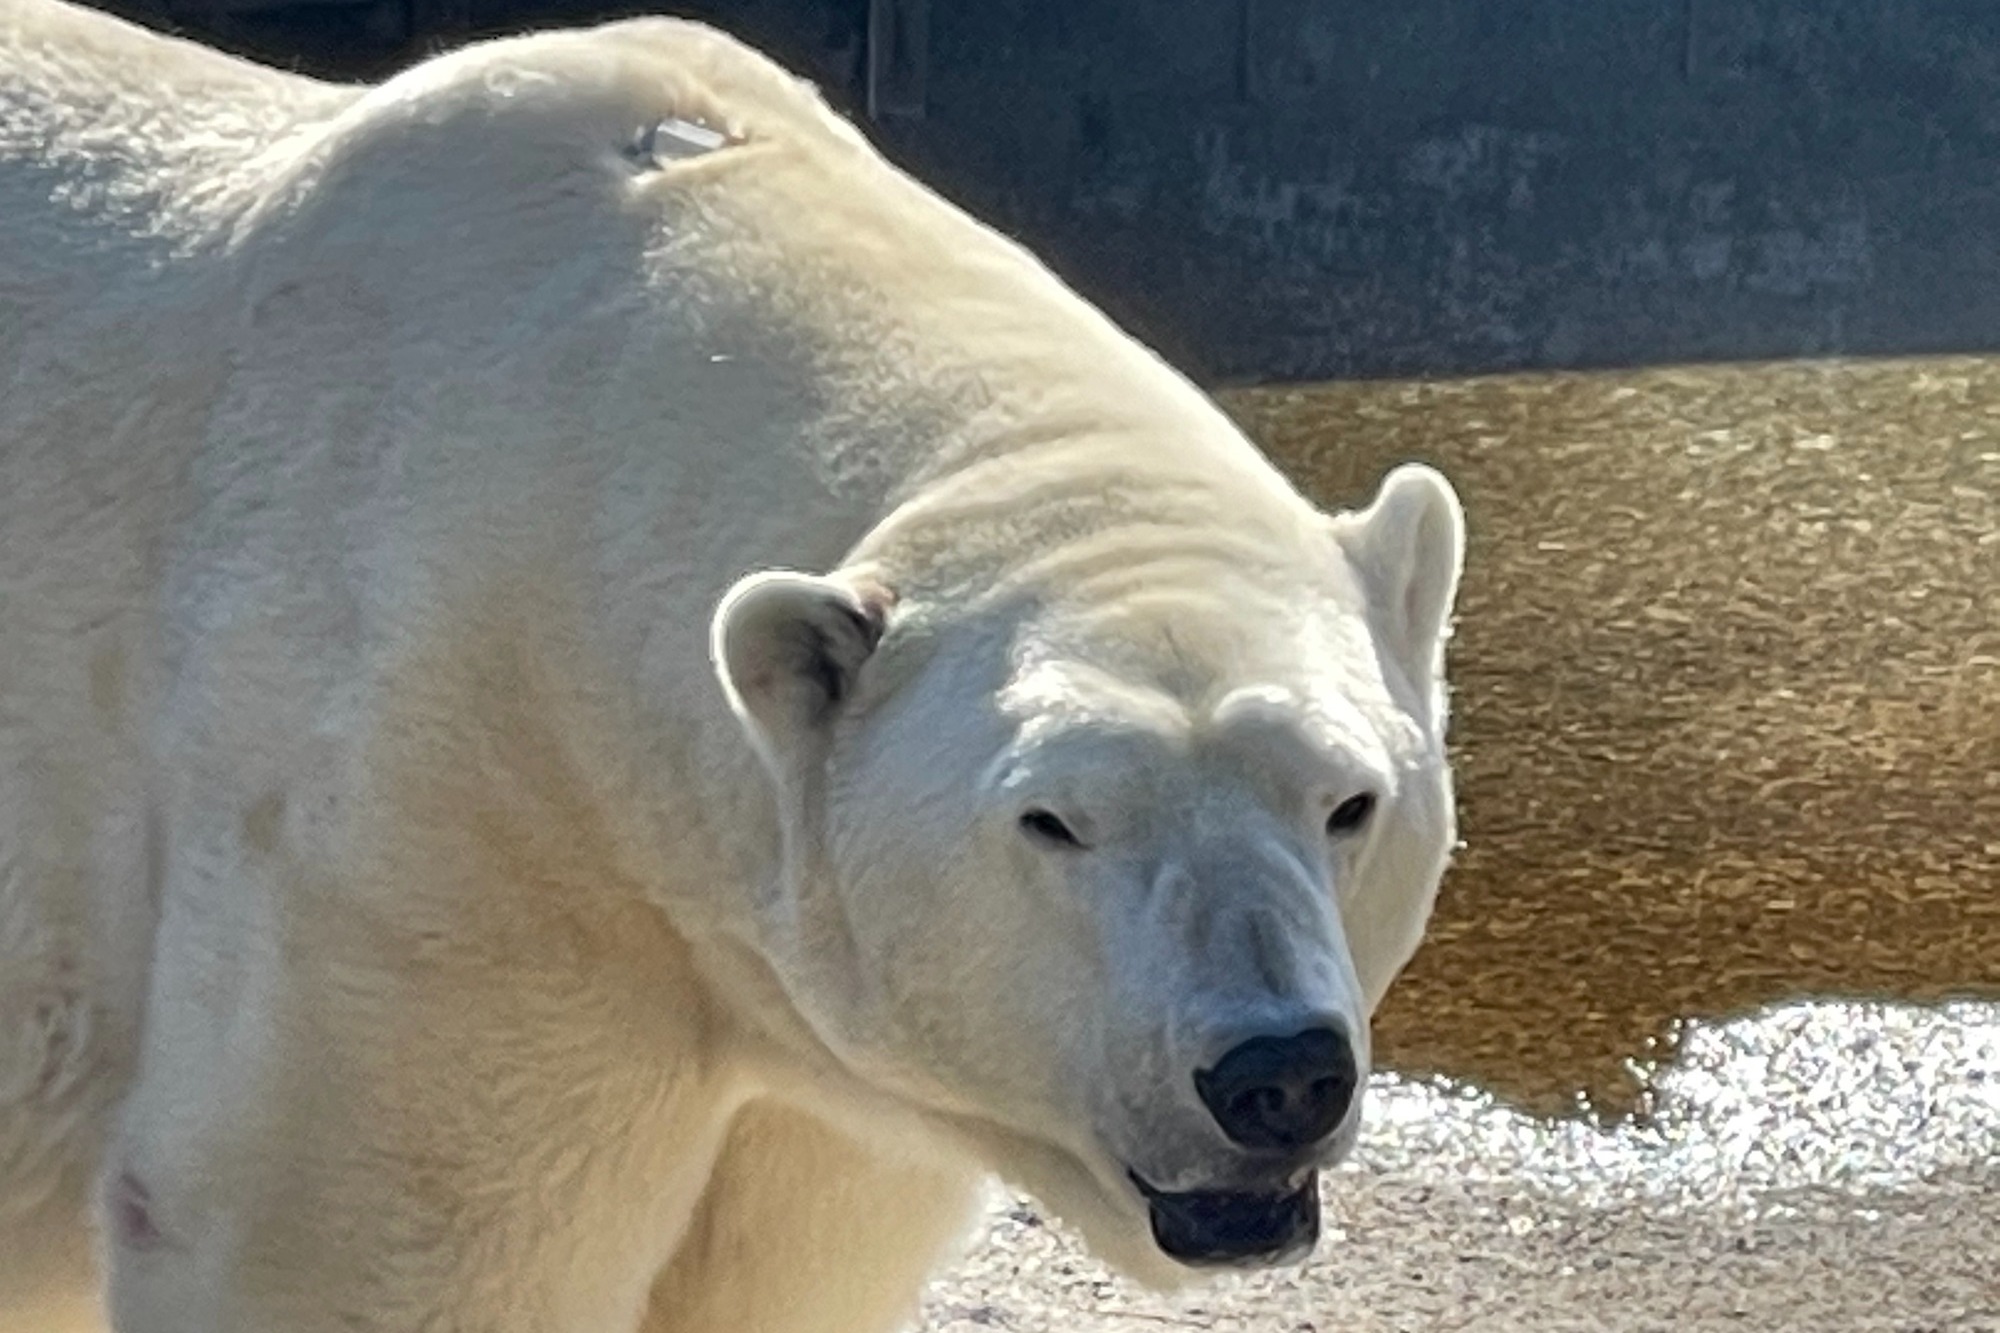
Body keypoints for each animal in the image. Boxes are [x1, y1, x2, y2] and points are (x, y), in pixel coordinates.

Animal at [0, 3, 1467, 1330]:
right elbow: (357, 1247)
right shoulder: (437, 829)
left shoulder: (811, 1081)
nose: (1274, 1073)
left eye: (1349, 802)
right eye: (1051, 819)